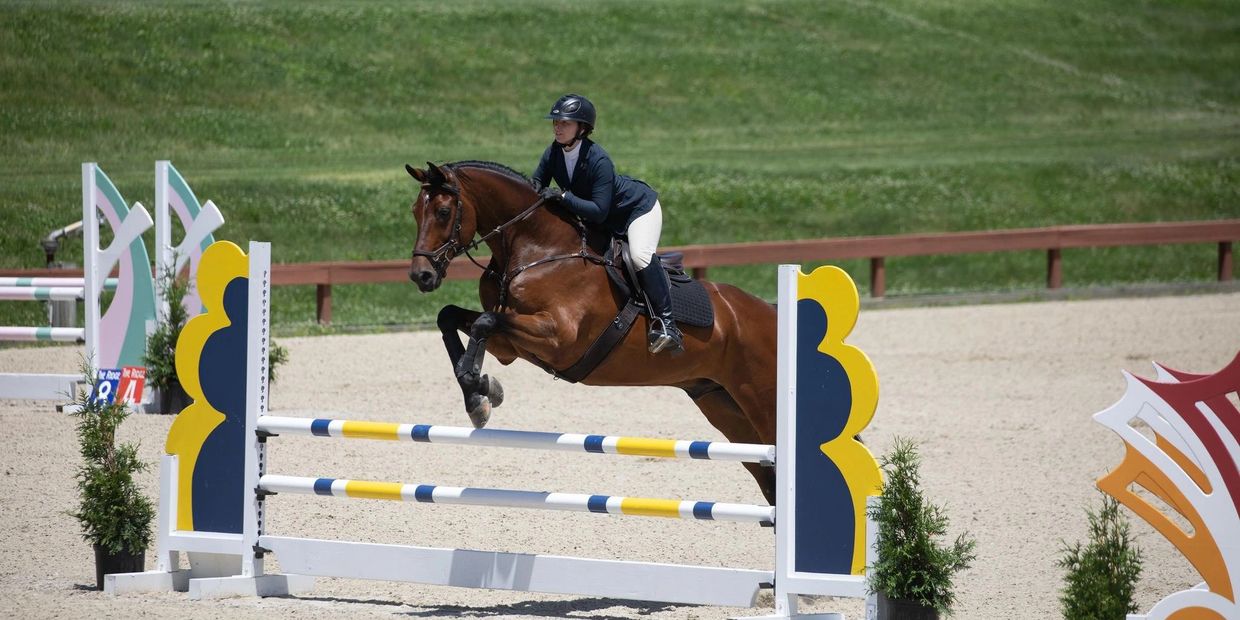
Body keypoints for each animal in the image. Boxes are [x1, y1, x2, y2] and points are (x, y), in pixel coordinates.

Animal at [406, 159, 773, 503]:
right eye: (414, 212)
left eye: (443, 211)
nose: (421, 276)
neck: (539, 249)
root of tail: (769, 311)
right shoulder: (509, 346)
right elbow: (451, 318)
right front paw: (480, 393)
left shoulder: (558, 338)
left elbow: (483, 322)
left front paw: (479, 394)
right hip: (721, 404)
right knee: (765, 473)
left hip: (759, 401)